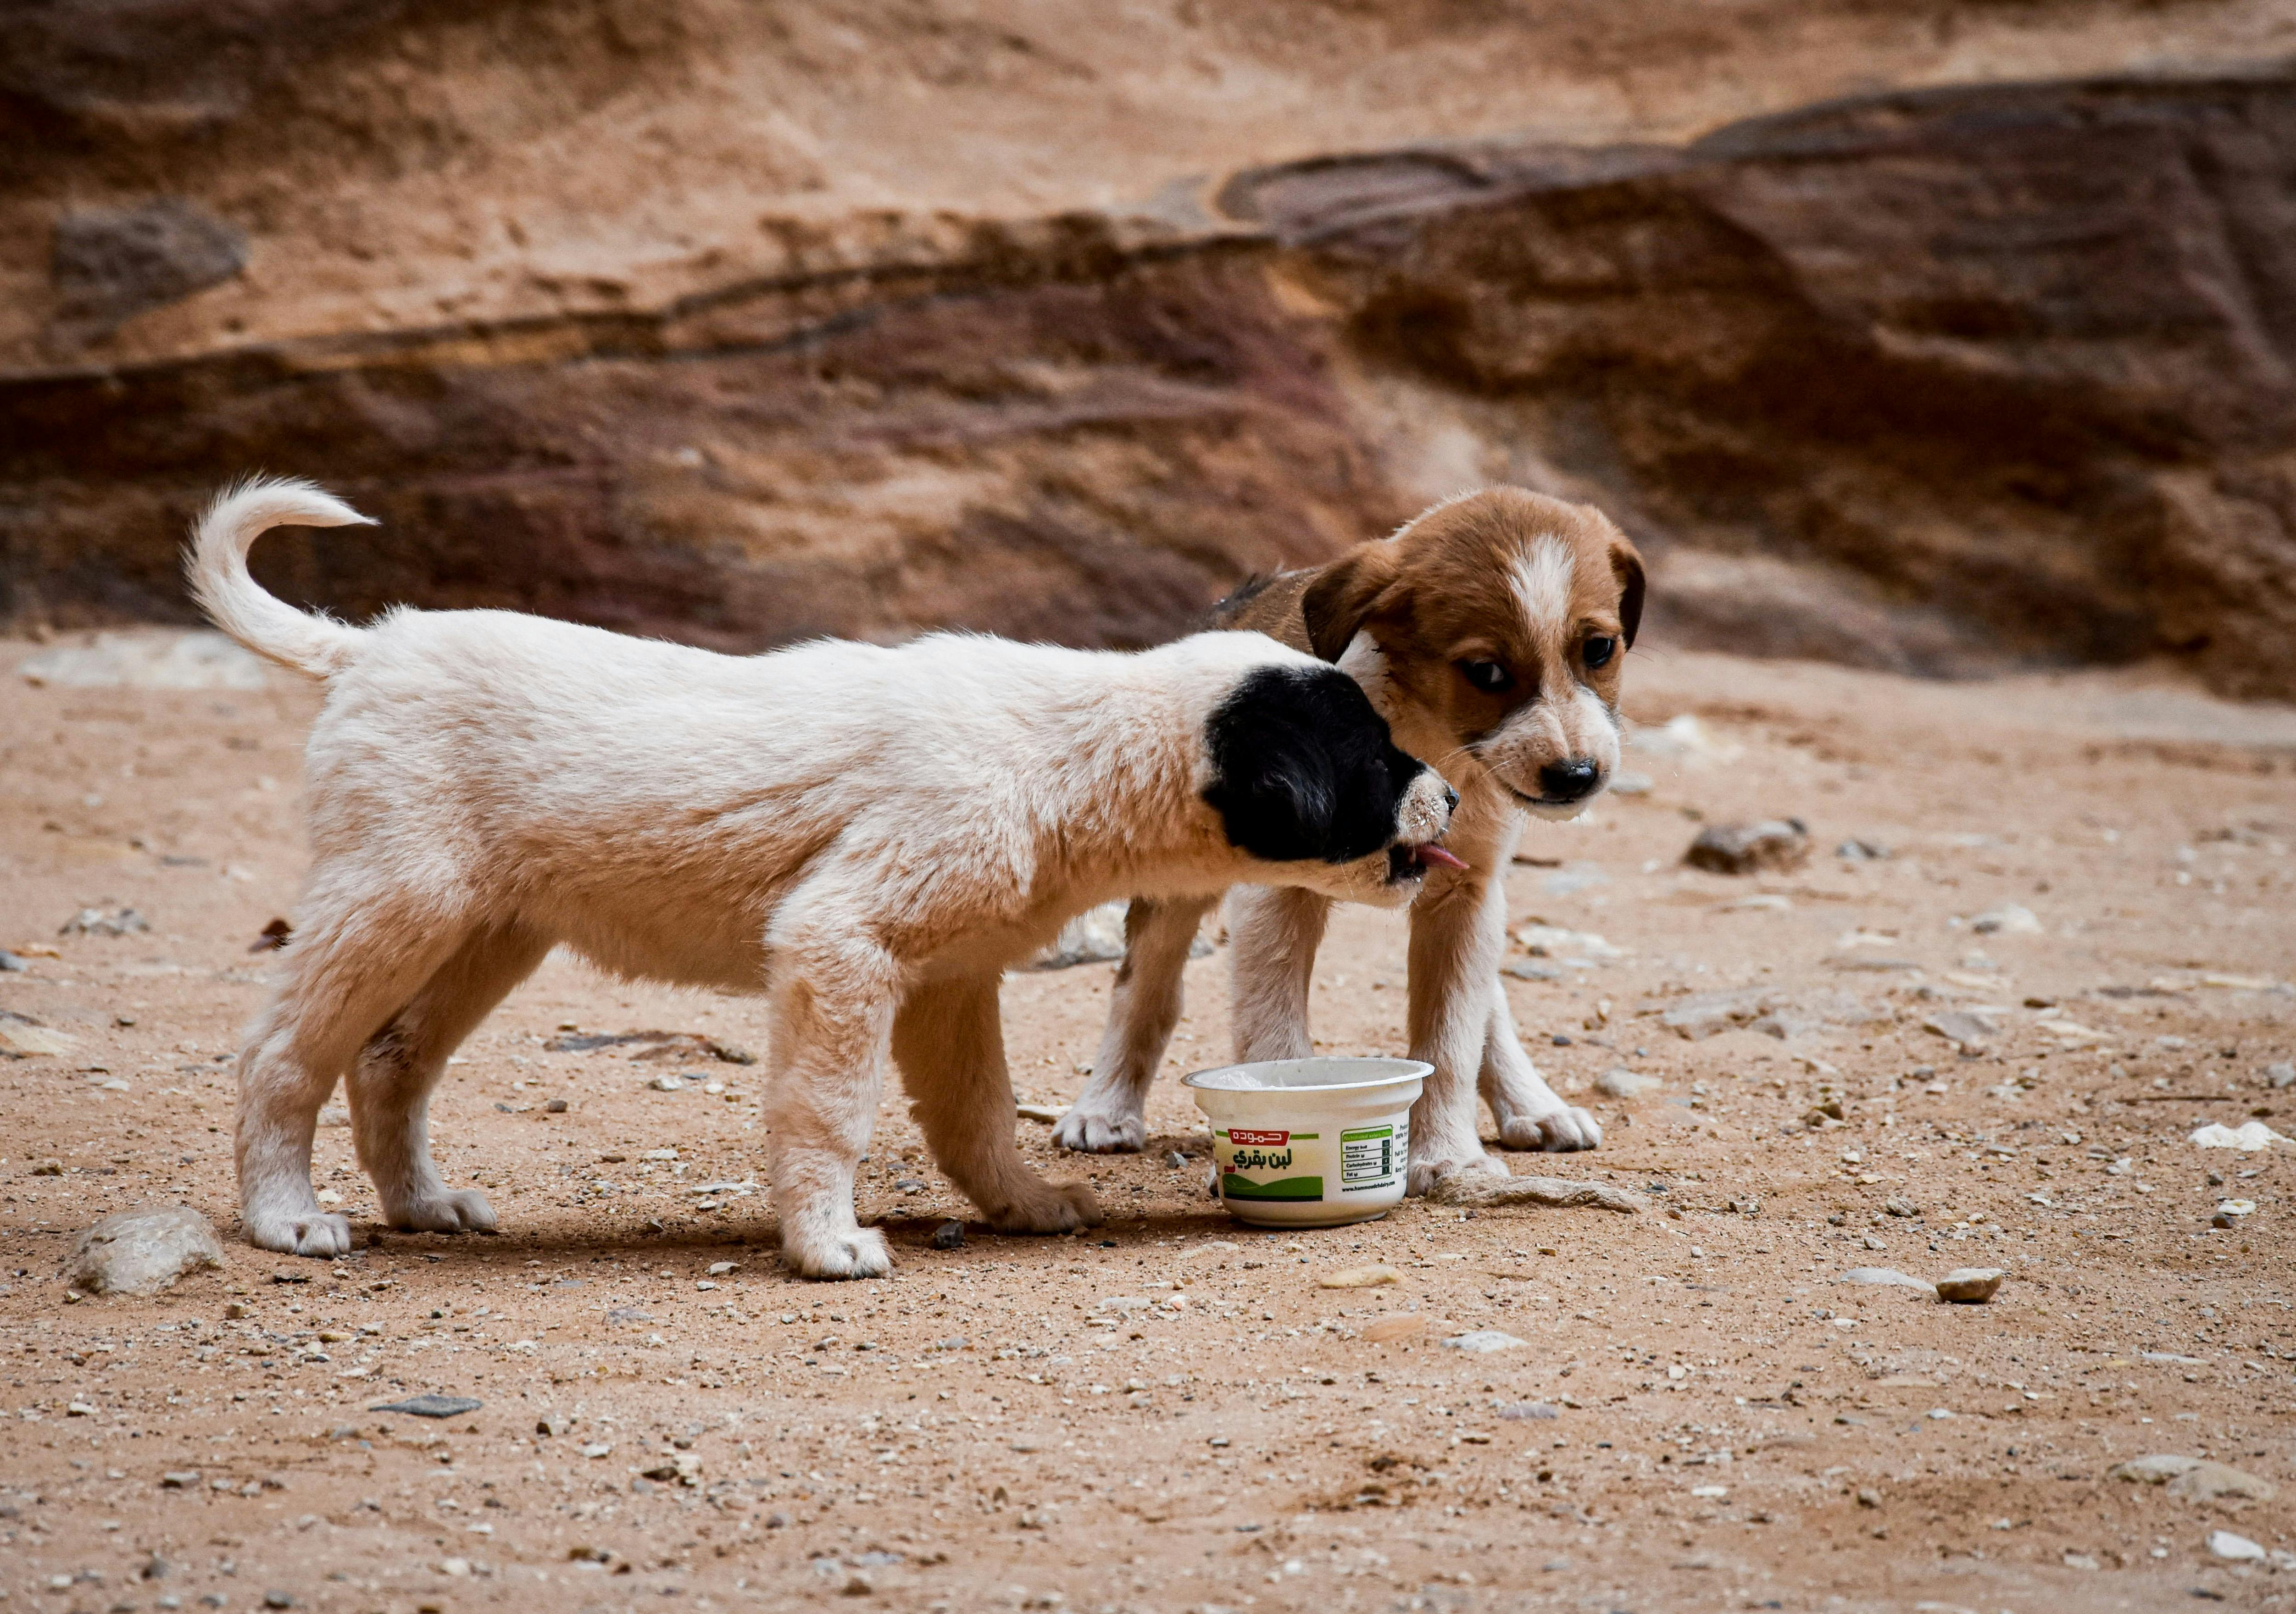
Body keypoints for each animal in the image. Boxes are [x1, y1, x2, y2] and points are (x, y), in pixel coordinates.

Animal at [193, 473, 1451, 1286]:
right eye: (1375, 758)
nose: (1447, 796)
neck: (1073, 750)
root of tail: (368, 646)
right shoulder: (838, 946)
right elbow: (829, 1112)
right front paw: (825, 1242)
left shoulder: (950, 979)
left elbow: (976, 1116)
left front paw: (1025, 1205)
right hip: (394, 900)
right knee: (282, 1056)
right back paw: (287, 1216)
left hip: (488, 930)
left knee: (391, 1059)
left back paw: (423, 1204)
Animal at [1051, 487, 1644, 1193]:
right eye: (1485, 670)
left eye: (1600, 649)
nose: (1577, 775)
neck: (1429, 731)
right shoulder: (1275, 897)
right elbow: (1274, 1035)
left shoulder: (1467, 891)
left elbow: (1450, 1038)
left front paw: (1448, 1154)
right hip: (1174, 885)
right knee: (1143, 984)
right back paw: (1104, 1108)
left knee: (1485, 1006)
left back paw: (1534, 1104)